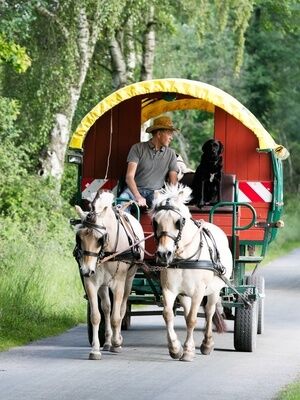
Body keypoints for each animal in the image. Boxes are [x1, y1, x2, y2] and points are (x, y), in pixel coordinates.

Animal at [74, 191, 144, 360]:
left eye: (100, 238)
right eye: (79, 237)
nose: (85, 270)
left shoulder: (119, 283)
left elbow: (116, 316)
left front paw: (117, 343)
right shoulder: (92, 283)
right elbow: (96, 315)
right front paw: (95, 350)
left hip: (129, 279)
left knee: (122, 307)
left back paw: (116, 339)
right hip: (104, 284)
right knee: (106, 307)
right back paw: (107, 341)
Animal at [151, 184, 233, 362]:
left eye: (179, 221)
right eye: (155, 221)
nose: (163, 254)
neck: (184, 257)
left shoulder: (198, 292)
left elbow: (193, 319)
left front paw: (188, 351)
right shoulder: (169, 290)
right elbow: (168, 314)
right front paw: (175, 348)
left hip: (214, 290)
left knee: (209, 311)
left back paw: (207, 344)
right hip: (185, 294)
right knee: (188, 312)